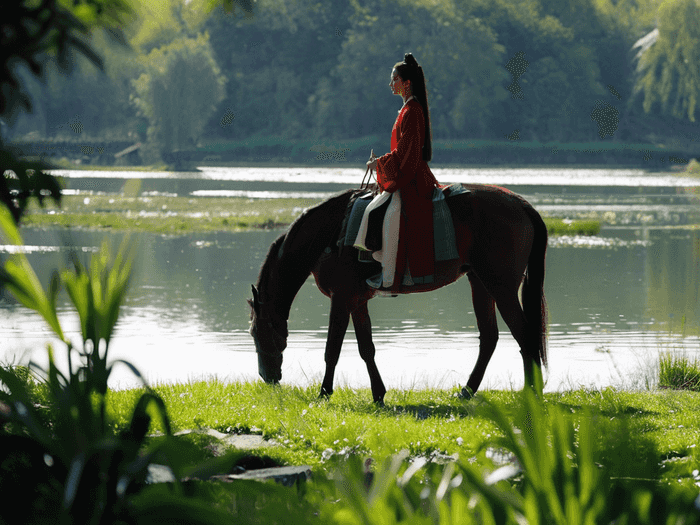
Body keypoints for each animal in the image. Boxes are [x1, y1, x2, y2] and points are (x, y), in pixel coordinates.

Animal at [249, 182, 548, 404]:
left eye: (254, 332)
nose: (266, 376)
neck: (328, 236)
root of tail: (521, 205)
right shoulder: (357, 302)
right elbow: (366, 349)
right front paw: (378, 394)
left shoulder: (341, 299)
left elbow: (332, 349)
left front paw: (323, 393)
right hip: (480, 283)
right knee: (489, 339)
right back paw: (467, 390)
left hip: (501, 287)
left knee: (525, 336)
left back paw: (530, 393)